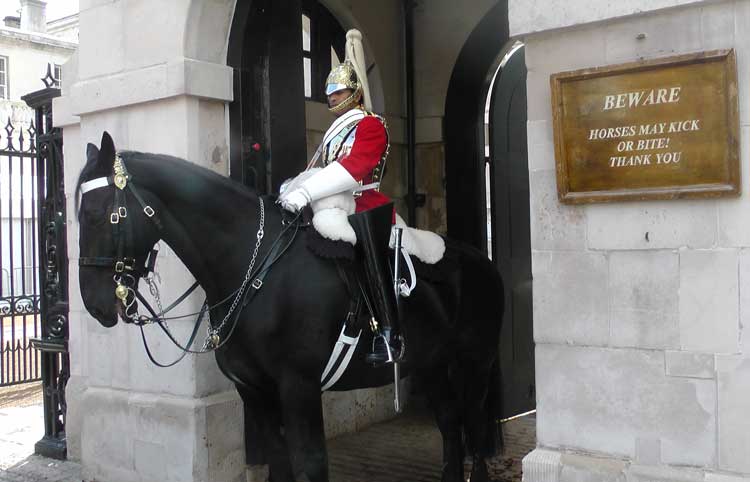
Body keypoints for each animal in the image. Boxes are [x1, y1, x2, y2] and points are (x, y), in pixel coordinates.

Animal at [76, 132, 506, 482]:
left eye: (94, 215)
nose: (95, 305)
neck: (254, 267)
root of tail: (482, 259)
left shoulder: (299, 387)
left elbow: (311, 463)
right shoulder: (254, 391)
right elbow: (279, 462)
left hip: (475, 363)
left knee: (472, 426)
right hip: (431, 363)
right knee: (450, 424)